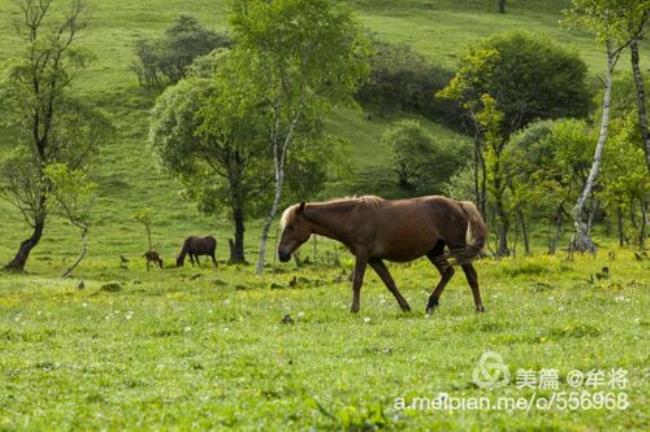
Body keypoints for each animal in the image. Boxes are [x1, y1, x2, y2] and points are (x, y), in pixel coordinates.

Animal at [278, 196, 486, 314]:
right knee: (448, 272)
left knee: (471, 276)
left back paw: (479, 308)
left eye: (291, 226)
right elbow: (390, 283)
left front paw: (354, 310)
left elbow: (357, 282)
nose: (281, 254)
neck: (351, 217)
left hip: (456, 246)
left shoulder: (363, 254)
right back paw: (431, 303)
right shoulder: (374, 259)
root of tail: (458, 204)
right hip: (434, 251)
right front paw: (405, 307)